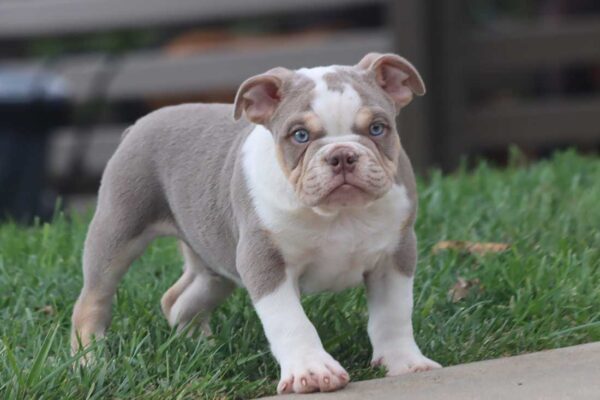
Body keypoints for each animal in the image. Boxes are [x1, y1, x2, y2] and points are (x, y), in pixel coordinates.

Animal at [72, 52, 442, 394]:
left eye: (377, 129)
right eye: (300, 135)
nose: (342, 155)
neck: (338, 214)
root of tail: (138, 125)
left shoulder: (395, 255)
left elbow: (393, 313)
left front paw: (403, 362)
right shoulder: (264, 260)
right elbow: (290, 320)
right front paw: (311, 371)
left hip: (214, 261)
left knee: (179, 299)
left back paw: (200, 348)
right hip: (118, 228)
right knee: (93, 300)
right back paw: (91, 360)